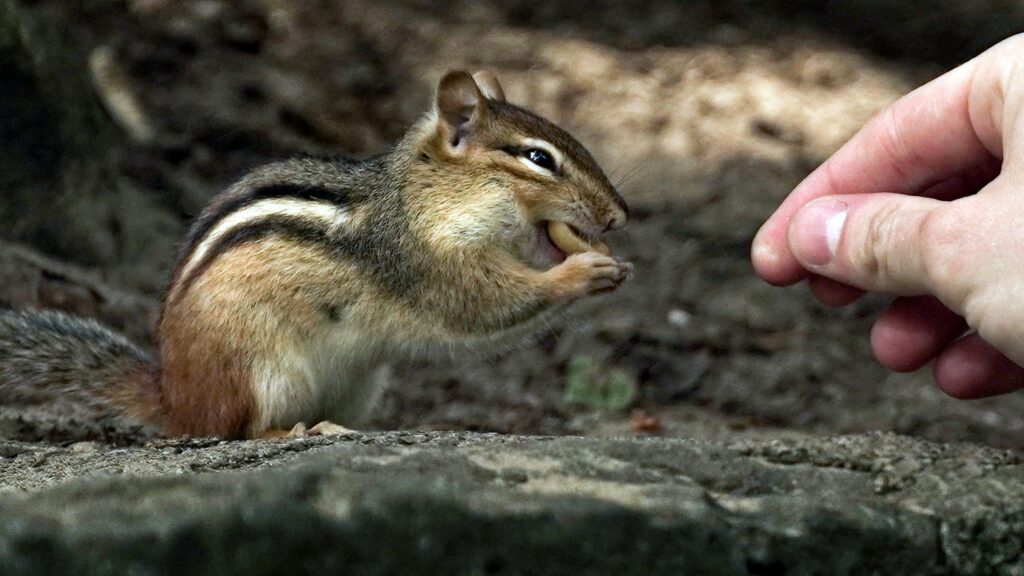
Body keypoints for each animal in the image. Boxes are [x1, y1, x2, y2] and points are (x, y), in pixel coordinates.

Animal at [0, 70, 632, 440]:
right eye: (538, 158)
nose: (618, 216)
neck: (423, 196)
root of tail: (173, 396)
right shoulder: (422, 261)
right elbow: (483, 304)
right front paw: (584, 272)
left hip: (360, 384)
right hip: (261, 371)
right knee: (233, 431)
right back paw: (297, 433)